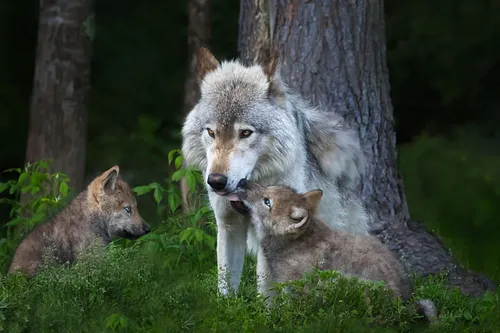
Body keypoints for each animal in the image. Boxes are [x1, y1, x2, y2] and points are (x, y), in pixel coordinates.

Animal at [182, 46, 370, 296]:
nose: (216, 181)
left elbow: (265, 292)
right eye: (211, 132)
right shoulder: (228, 225)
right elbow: (225, 287)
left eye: (245, 133)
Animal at [236, 180, 436, 320]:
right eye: (267, 187)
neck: (292, 245)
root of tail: (404, 303)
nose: (242, 181)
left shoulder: (295, 289)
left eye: (267, 202)